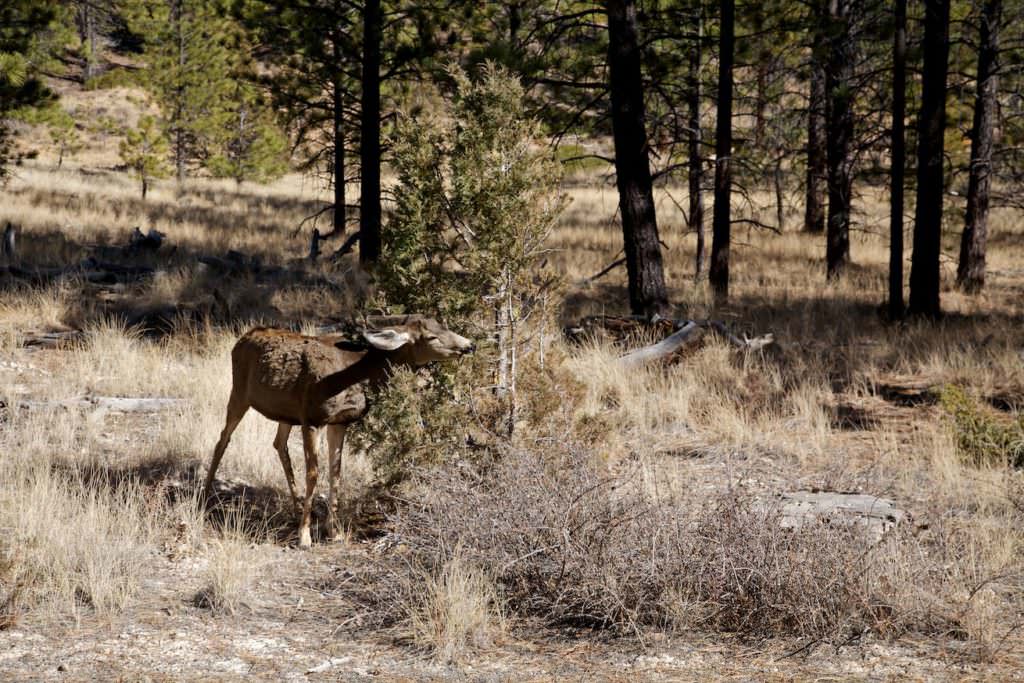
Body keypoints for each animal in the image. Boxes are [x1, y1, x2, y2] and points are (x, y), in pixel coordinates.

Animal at [203, 317, 475, 548]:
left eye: (444, 325)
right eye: (431, 337)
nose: (469, 345)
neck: (357, 375)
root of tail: (243, 338)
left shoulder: (339, 422)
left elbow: (336, 471)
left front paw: (333, 532)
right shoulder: (312, 417)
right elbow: (313, 473)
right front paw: (305, 537)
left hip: (286, 412)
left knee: (278, 443)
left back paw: (297, 506)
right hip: (239, 392)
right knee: (223, 439)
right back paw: (205, 496)